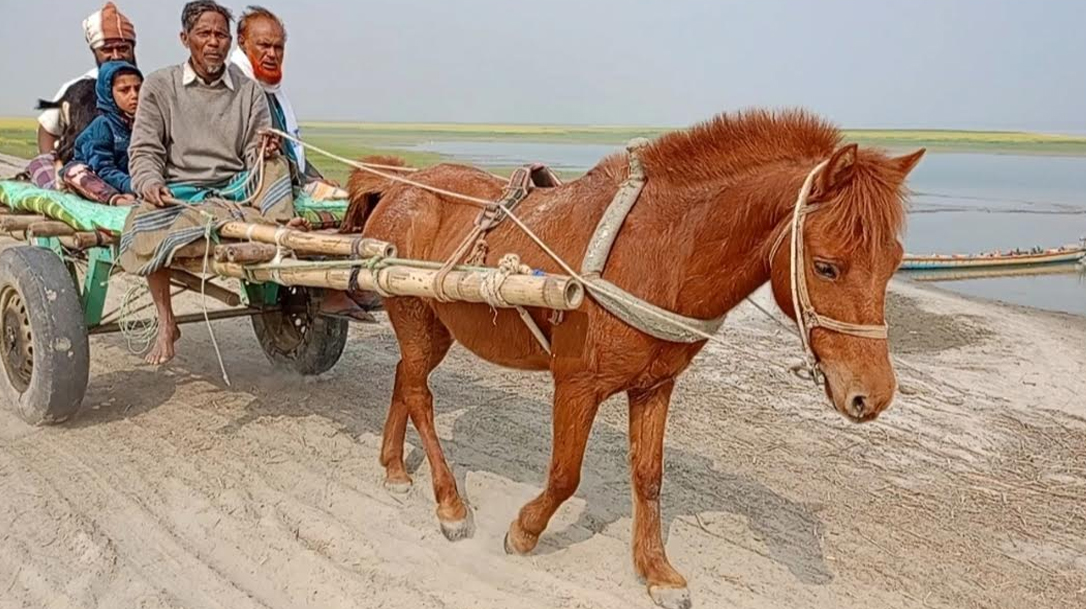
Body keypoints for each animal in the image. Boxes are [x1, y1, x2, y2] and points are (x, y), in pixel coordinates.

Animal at [347, 109, 925, 607]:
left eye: (895, 260)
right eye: (827, 266)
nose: (872, 396)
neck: (655, 250)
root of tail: (402, 186)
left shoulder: (655, 386)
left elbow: (649, 476)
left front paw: (656, 571)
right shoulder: (576, 384)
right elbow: (565, 474)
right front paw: (524, 531)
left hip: (431, 326)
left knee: (404, 379)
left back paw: (394, 467)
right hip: (414, 316)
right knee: (420, 395)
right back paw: (448, 504)